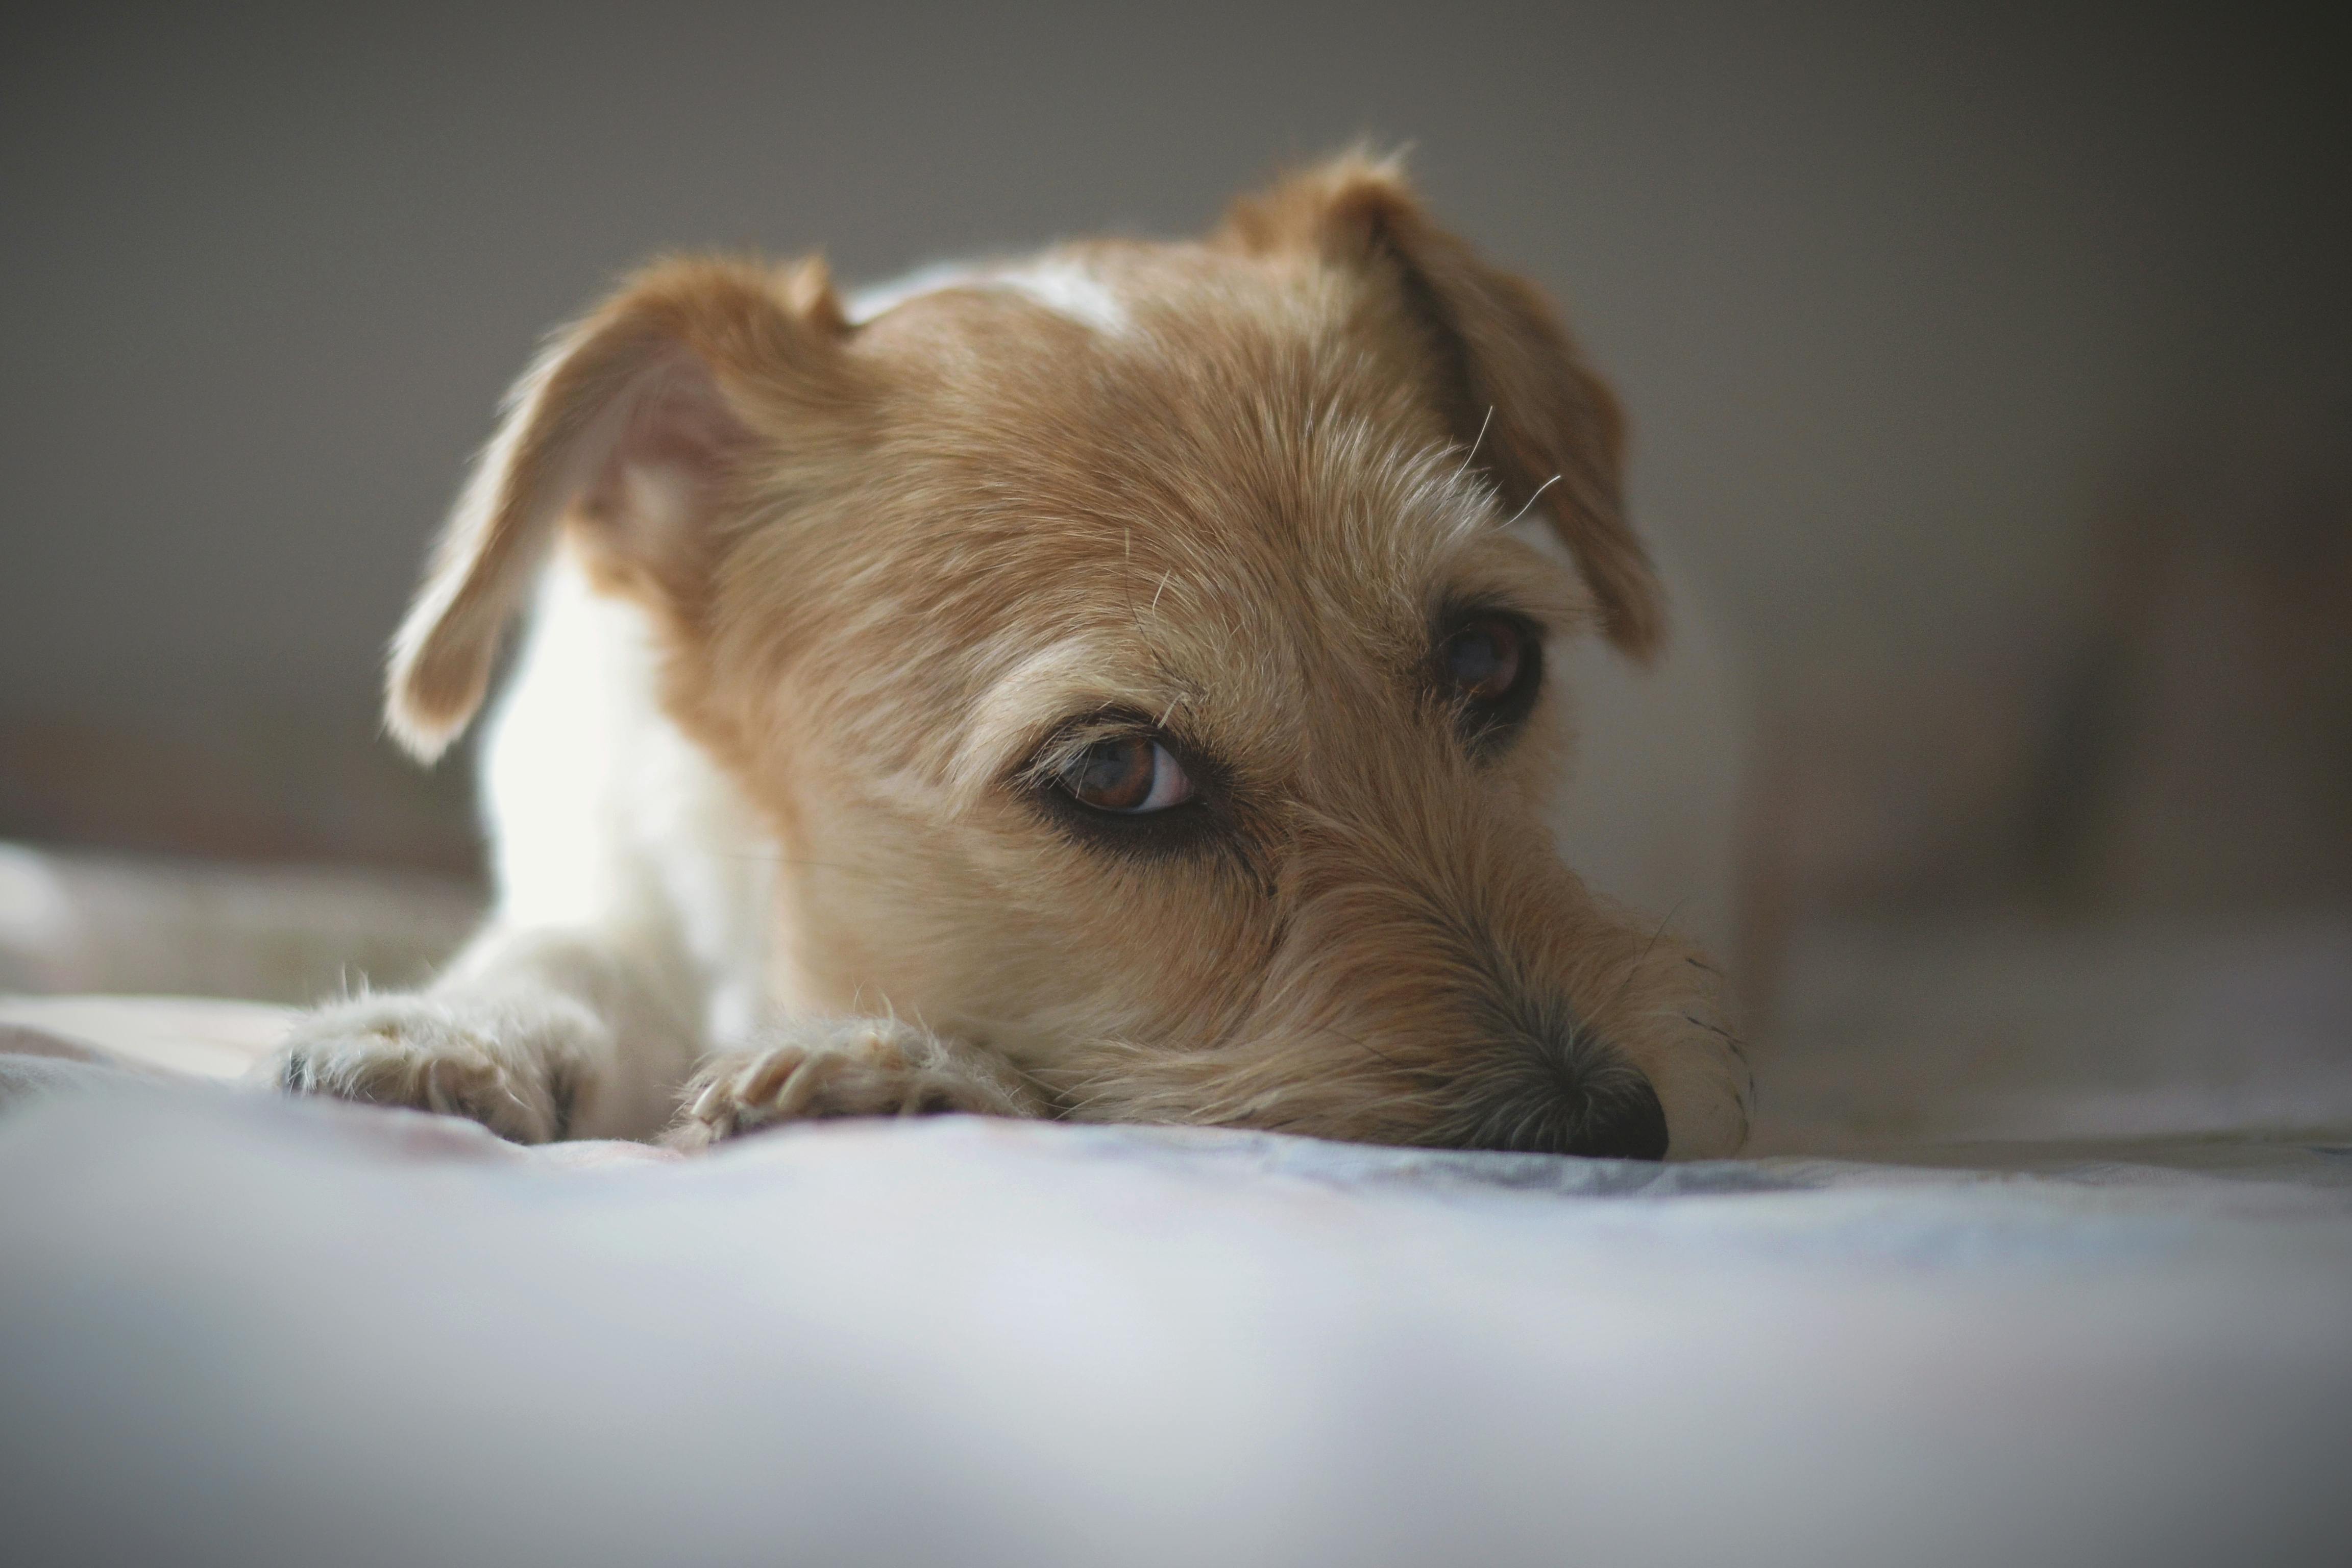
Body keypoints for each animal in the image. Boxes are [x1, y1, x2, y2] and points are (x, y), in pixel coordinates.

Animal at [267, 153, 1759, 1161]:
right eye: (1115, 773)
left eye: (1493, 659)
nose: (1613, 1128)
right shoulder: (606, 878)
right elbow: (566, 951)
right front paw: (458, 1029)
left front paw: (888, 1061)